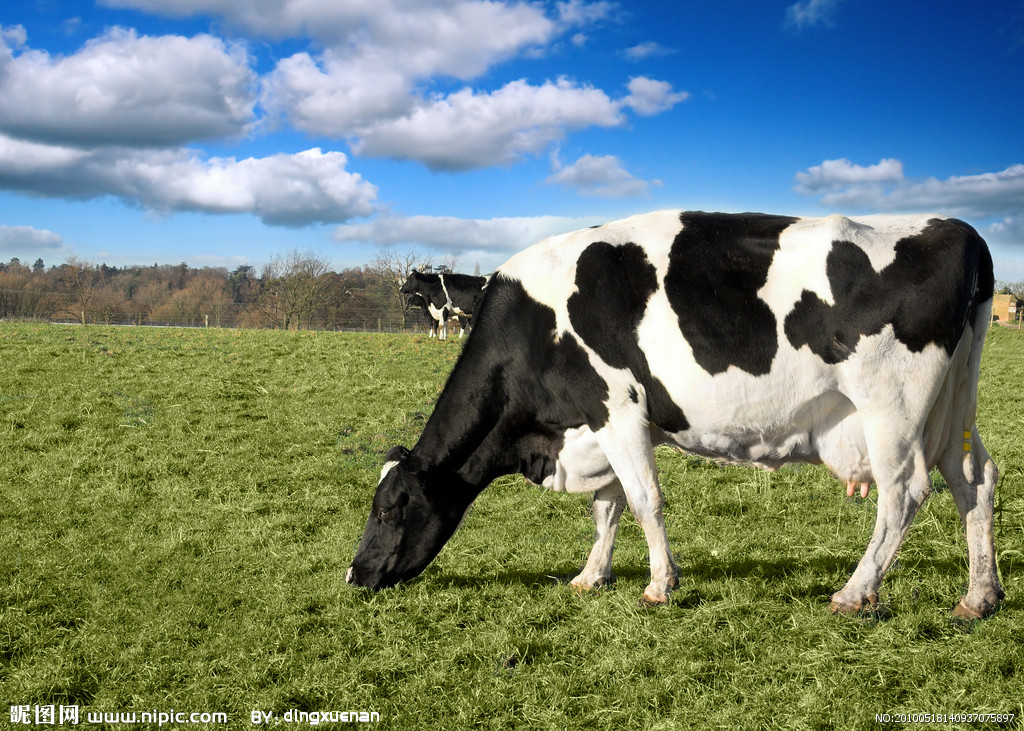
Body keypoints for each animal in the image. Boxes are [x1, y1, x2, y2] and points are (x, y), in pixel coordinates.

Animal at [348, 210, 1003, 622]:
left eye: (388, 509)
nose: (355, 575)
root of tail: (959, 229)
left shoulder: (615, 408)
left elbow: (643, 501)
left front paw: (660, 585)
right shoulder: (603, 426)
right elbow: (607, 506)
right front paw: (592, 577)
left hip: (891, 407)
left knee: (904, 492)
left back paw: (855, 591)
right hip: (954, 407)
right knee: (974, 480)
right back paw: (980, 596)